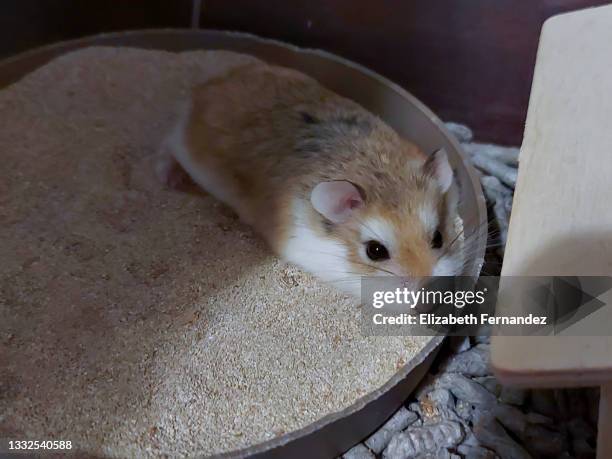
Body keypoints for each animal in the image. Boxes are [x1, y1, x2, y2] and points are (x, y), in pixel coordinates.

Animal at [158, 54, 464, 298]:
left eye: (438, 237)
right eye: (375, 251)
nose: (427, 286)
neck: (376, 173)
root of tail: (208, 86)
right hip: (185, 146)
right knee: (168, 148)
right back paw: (171, 179)